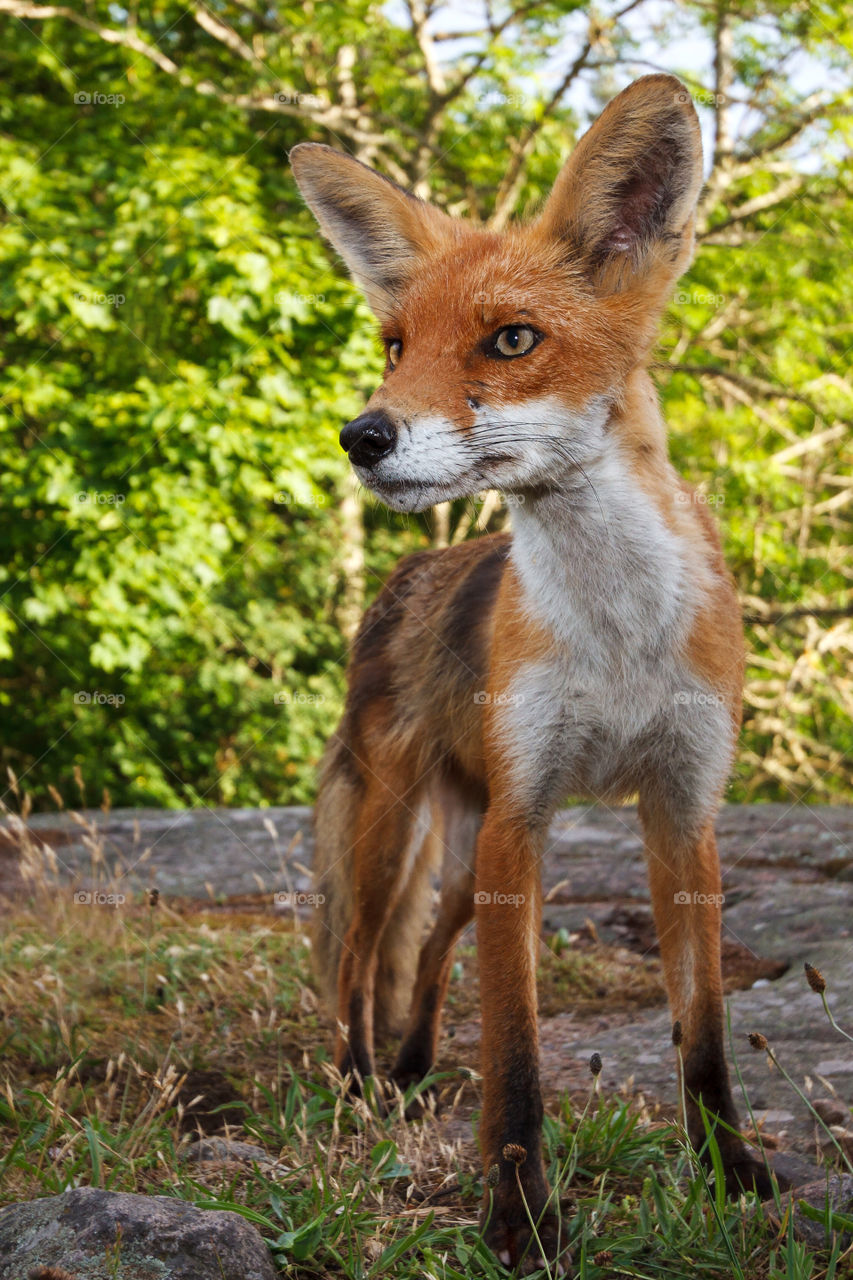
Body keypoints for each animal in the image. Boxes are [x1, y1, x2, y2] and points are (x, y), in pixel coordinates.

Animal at [291, 75, 782, 1272]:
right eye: (395, 343)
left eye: (511, 339)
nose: (361, 435)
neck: (616, 633)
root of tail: (407, 577)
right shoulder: (527, 817)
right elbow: (515, 1054)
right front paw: (518, 1219)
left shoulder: (681, 805)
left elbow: (701, 1029)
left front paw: (731, 1171)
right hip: (394, 828)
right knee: (356, 961)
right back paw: (358, 1084)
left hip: (466, 853)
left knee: (425, 953)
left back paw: (412, 1062)